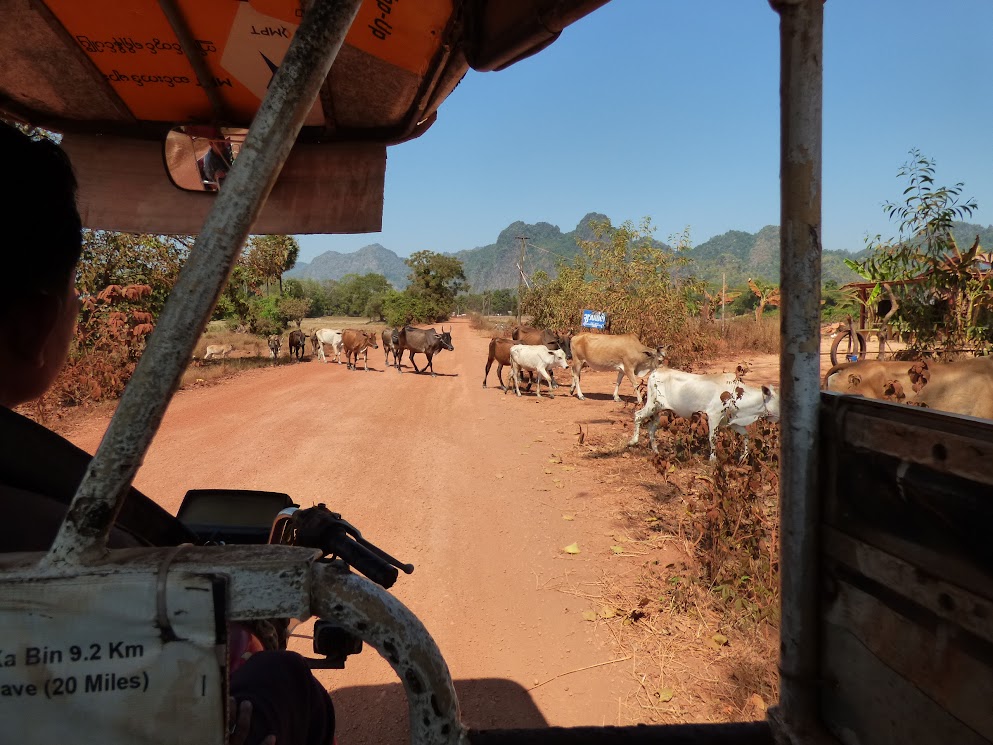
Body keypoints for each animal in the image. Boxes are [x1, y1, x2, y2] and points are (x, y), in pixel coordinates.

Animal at [628, 366, 784, 460]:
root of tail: (656, 371)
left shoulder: (731, 421)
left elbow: (746, 435)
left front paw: (743, 457)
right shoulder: (713, 416)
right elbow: (712, 438)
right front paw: (713, 460)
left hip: (660, 410)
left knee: (651, 427)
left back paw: (655, 451)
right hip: (652, 405)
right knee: (637, 415)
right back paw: (633, 441)